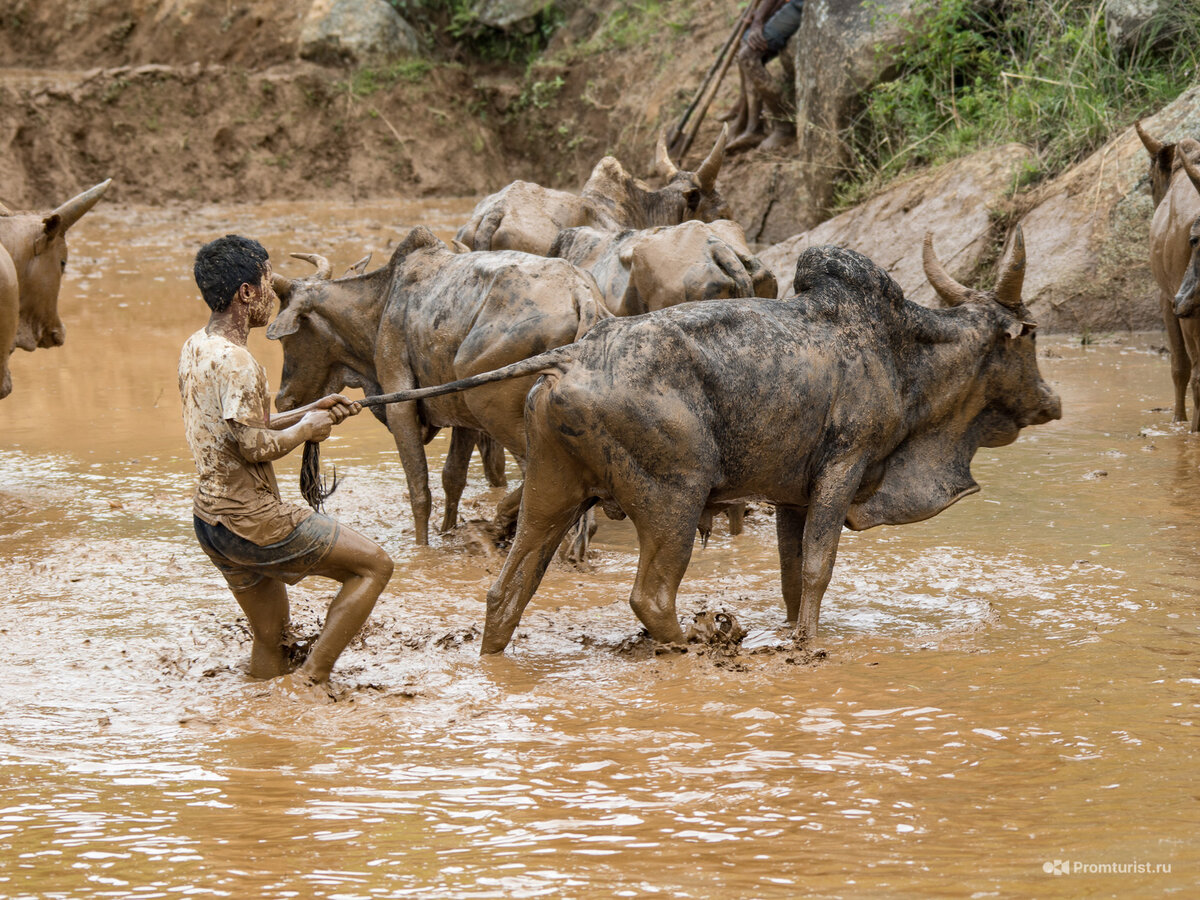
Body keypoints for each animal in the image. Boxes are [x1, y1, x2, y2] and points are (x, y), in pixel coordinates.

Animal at [364, 230, 1060, 657]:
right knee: (650, 597)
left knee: (505, 593)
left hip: (551, 491)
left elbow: (791, 576)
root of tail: (573, 354)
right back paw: (703, 640)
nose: (1051, 401)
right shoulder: (843, 467)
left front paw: (789, 628)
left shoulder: (792, 495)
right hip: (677, 493)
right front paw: (807, 644)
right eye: (1028, 332)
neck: (901, 353)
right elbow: (818, 567)